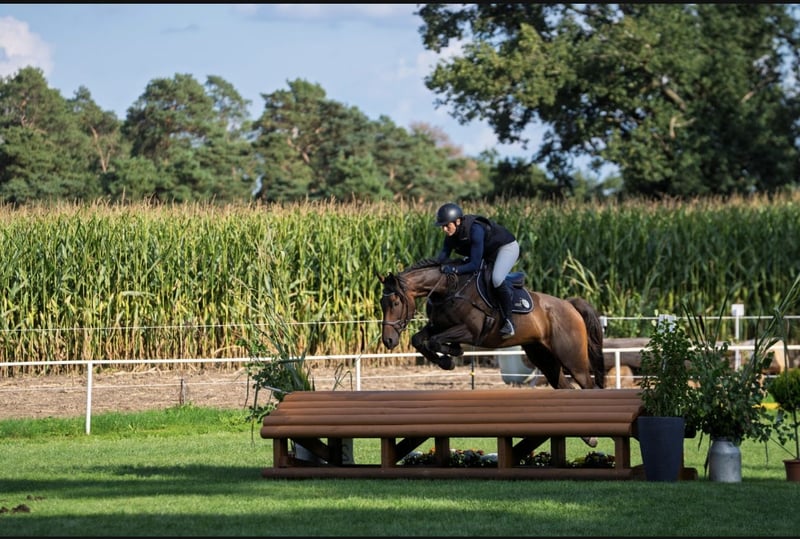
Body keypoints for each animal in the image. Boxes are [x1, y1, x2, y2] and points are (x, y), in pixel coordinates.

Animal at [378, 257, 606, 391]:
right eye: (381, 302)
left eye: (395, 302)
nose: (388, 340)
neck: (449, 289)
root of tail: (570, 305)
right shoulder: (438, 326)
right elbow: (420, 339)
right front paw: (448, 359)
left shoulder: (471, 331)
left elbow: (435, 341)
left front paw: (451, 355)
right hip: (542, 355)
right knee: (564, 384)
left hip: (572, 358)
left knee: (587, 384)